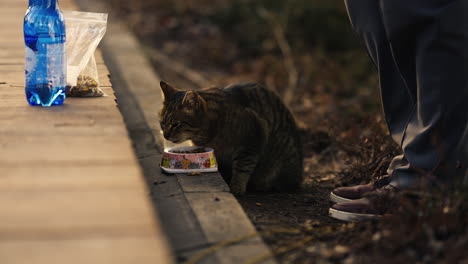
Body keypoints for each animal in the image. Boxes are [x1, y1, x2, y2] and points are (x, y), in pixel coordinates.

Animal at [160, 81, 304, 195]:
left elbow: (242, 167)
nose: (165, 135)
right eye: (162, 123)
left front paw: (236, 188)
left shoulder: (253, 138)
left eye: (176, 124)